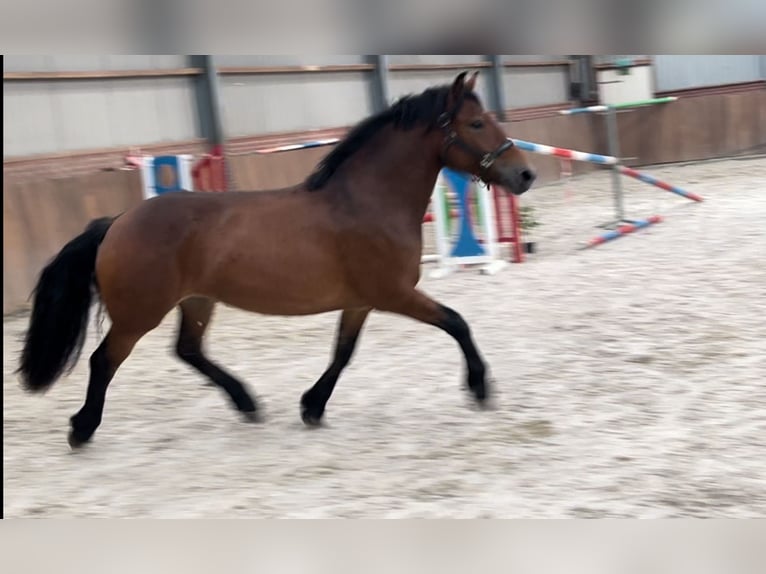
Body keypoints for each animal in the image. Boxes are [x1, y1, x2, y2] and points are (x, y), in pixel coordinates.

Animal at [16, 73, 536, 450]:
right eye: (476, 124)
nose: (525, 174)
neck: (366, 203)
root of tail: (119, 221)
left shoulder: (361, 301)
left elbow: (343, 353)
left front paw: (312, 406)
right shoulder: (395, 294)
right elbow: (456, 322)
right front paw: (480, 387)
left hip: (198, 301)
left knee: (188, 351)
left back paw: (246, 403)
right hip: (140, 313)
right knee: (105, 360)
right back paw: (82, 429)